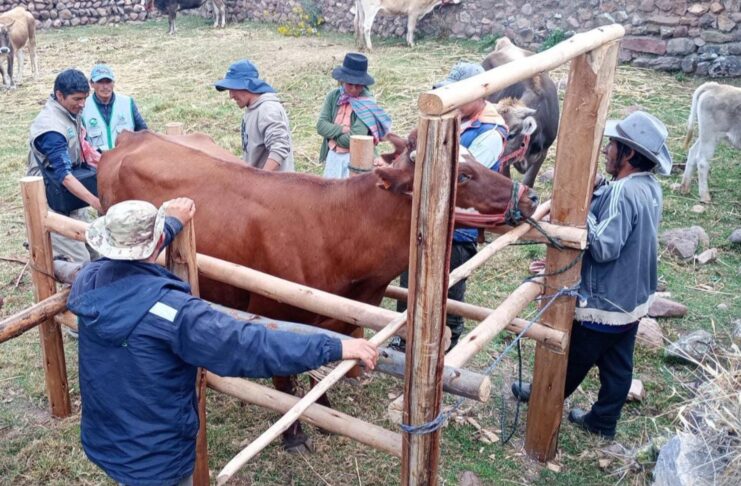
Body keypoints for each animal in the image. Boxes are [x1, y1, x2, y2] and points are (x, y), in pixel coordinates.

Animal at [98, 130, 536, 452]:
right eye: (462, 175)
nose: (530, 195)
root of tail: (133, 136)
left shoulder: (335, 319)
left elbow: (322, 368)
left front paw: (324, 411)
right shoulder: (275, 315)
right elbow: (284, 383)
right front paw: (294, 434)